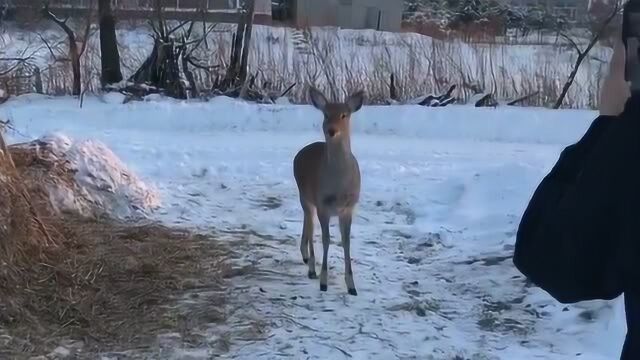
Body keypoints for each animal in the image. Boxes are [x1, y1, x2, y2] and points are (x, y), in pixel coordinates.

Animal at [292, 87, 362, 296]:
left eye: (344, 114)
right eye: (325, 114)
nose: (332, 130)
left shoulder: (349, 207)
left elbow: (346, 242)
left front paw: (352, 286)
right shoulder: (323, 204)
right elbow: (326, 239)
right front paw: (324, 282)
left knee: (307, 223)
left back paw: (306, 257)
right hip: (305, 195)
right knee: (310, 226)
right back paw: (311, 268)